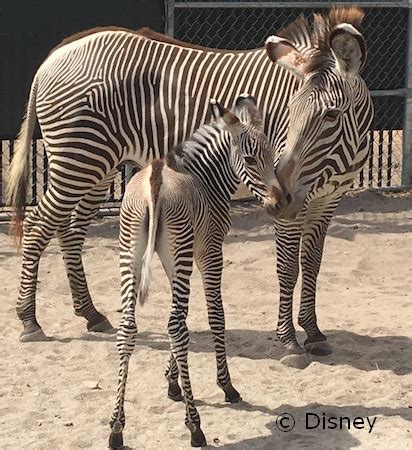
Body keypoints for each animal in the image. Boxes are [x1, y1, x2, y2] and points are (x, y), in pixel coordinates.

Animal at [7, 7, 374, 360]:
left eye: (331, 115)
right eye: (289, 111)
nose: (282, 195)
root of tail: (56, 54)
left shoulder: (327, 201)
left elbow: (312, 265)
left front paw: (313, 333)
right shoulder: (295, 203)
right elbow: (287, 267)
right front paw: (289, 342)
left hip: (99, 166)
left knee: (69, 230)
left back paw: (90, 313)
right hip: (79, 158)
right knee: (39, 226)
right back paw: (29, 320)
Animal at [109, 95, 276, 446]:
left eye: (270, 155)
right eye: (251, 159)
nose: (278, 203)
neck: (205, 176)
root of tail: (155, 180)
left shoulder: (173, 259)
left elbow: (183, 315)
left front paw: (172, 382)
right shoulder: (209, 250)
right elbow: (216, 315)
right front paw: (225, 386)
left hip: (129, 251)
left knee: (131, 327)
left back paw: (116, 427)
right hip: (181, 250)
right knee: (175, 326)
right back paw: (195, 426)